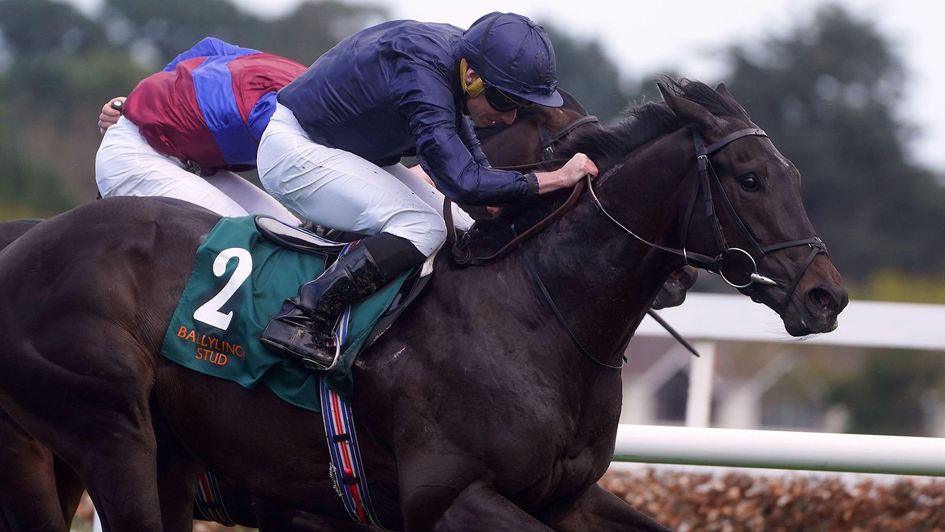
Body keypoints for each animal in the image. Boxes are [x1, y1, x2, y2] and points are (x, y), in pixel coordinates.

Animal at [0, 80, 844, 532]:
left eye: (795, 174)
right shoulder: (449, 499)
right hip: (106, 434)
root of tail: (24, 247)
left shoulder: (567, 499)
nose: (824, 294)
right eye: (749, 178)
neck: (536, 318)